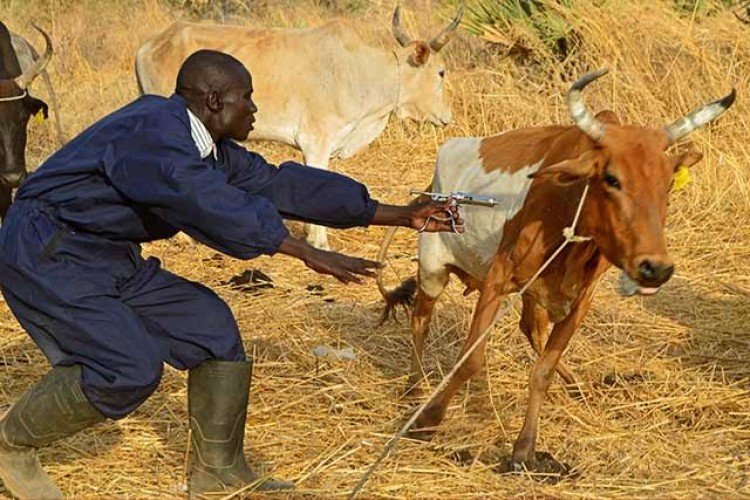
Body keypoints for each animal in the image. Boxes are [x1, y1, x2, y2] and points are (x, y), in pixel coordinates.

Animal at [136, 6, 464, 249]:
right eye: (441, 72)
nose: (447, 117)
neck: (361, 72)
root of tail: (151, 43)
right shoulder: (316, 142)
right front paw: (319, 241)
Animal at [378, 69, 736, 472]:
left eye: (668, 185)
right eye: (612, 179)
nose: (655, 269)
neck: (565, 207)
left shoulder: (578, 300)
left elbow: (543, 369)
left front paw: (525, 447)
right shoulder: (498, 280)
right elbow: (470, 359)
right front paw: (428, 419)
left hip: (528, 296)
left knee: (530, 332)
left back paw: (574, 384)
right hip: (433, 267)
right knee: (420, 320)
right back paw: (415, 387)